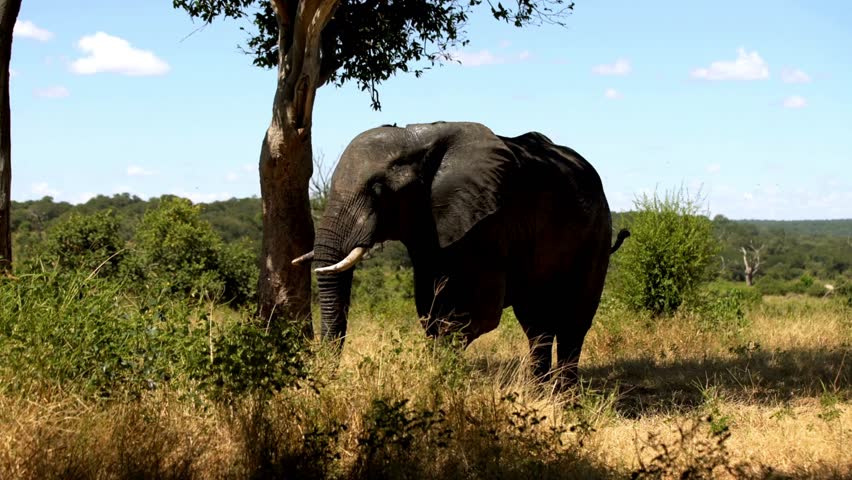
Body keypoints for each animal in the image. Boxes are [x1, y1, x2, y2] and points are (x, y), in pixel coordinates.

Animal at [293, 121, 629, 387]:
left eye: (378, 190)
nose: (330, 382)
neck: (417, 142)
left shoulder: (487, 224)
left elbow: (474, 315)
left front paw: (442, 382)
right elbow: (430, 309)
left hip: (596, 234)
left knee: (574, 321)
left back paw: (564, 397)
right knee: (536, 324)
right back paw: (539, 392)